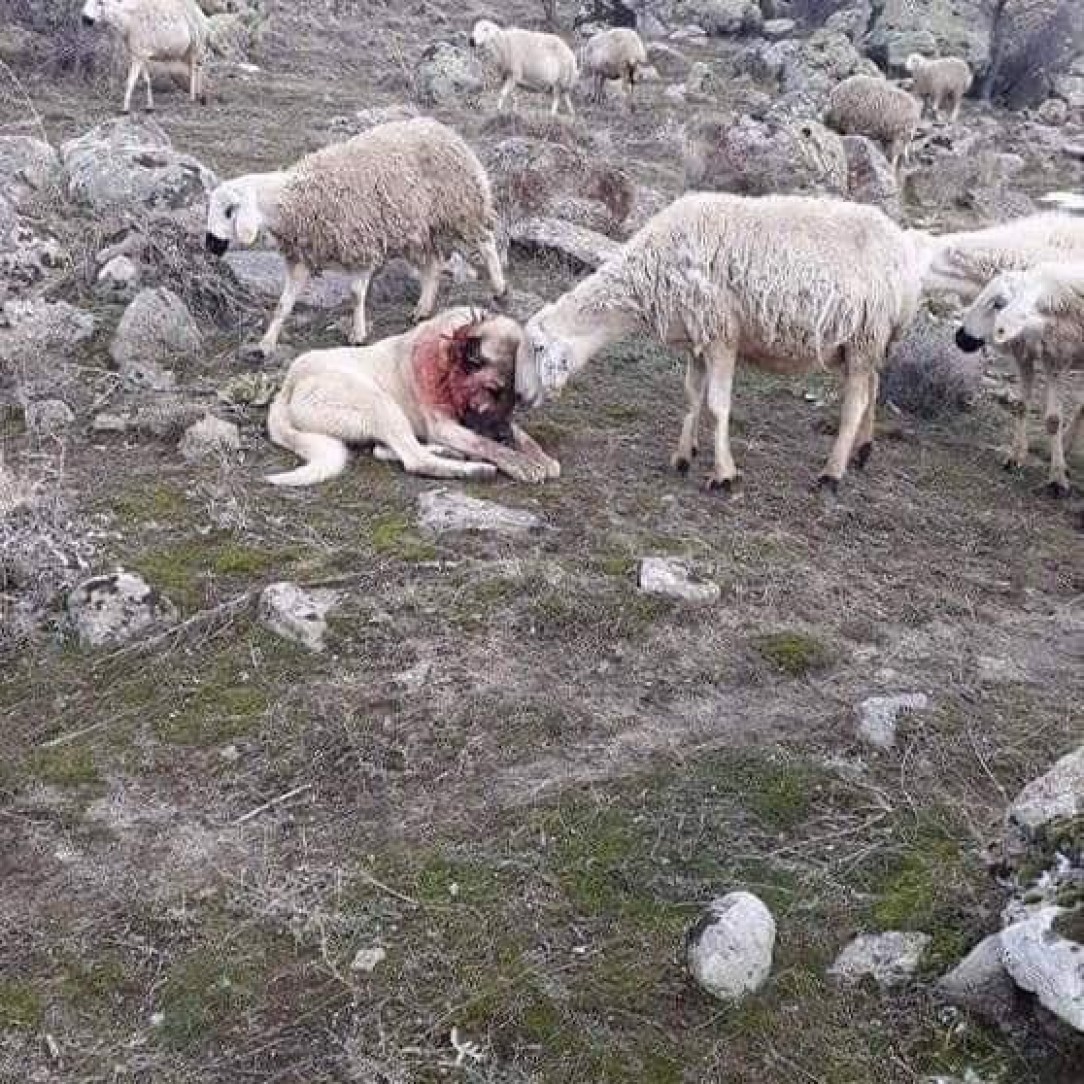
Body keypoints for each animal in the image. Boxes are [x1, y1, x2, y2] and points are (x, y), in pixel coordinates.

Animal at [80, 0, 209, 113]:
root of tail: (198, 10)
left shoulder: (137, 56)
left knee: (198, 68)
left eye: (100, 2)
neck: (127, 20)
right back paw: (197, 95)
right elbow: (147, 80)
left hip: (197, 44)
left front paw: (125, 109)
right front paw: (149, 107)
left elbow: (130, 81)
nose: (85, 19)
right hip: (186, 50)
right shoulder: (141, 55)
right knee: (193, 68)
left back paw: (197, 98)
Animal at [204, 118, 509, 357]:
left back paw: (499, 288)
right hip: (418, 229)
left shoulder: (361, 245)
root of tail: (444, 130)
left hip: (461, 209)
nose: (210, 245)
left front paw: (358, 334)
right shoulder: (302, 257)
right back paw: (422, 309)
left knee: (486, 242)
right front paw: (266, 343)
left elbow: (355, 294)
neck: (297, 199)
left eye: (229, 211)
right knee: (432, 265)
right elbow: (283, 304)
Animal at [266, 310, 563, 487]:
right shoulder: (445, 427)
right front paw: (520, 462)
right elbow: (485, 444)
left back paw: (449, 452)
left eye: (516, 396)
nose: (503, 436)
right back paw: (474, 469)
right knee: (413, 459)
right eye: (492, 390)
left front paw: (539, 456)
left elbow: (522, 435)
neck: (447, 360)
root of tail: (288, 385)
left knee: (386, 450)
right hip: (379, 403)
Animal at [511, 191, 927, 492]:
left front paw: (723, 474)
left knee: (854, 404)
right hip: (866, 342)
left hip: (865, 335)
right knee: (873, 387)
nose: (518, 396)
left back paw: (832, 473)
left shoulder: (721, 335)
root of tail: (904, 252)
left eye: (537, 349)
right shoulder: (697, 340)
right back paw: (862, 451)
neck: (649, 270)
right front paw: (683, 456)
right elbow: (692, 397)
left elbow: (716, 405)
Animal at [958, 262, 1084, 498]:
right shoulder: (1026, 355)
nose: (960, 338)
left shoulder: (1057, 359)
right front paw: (1016, 456)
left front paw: (1057, 478)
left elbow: (1053, 419)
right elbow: (1021, 406)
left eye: (999, 303)